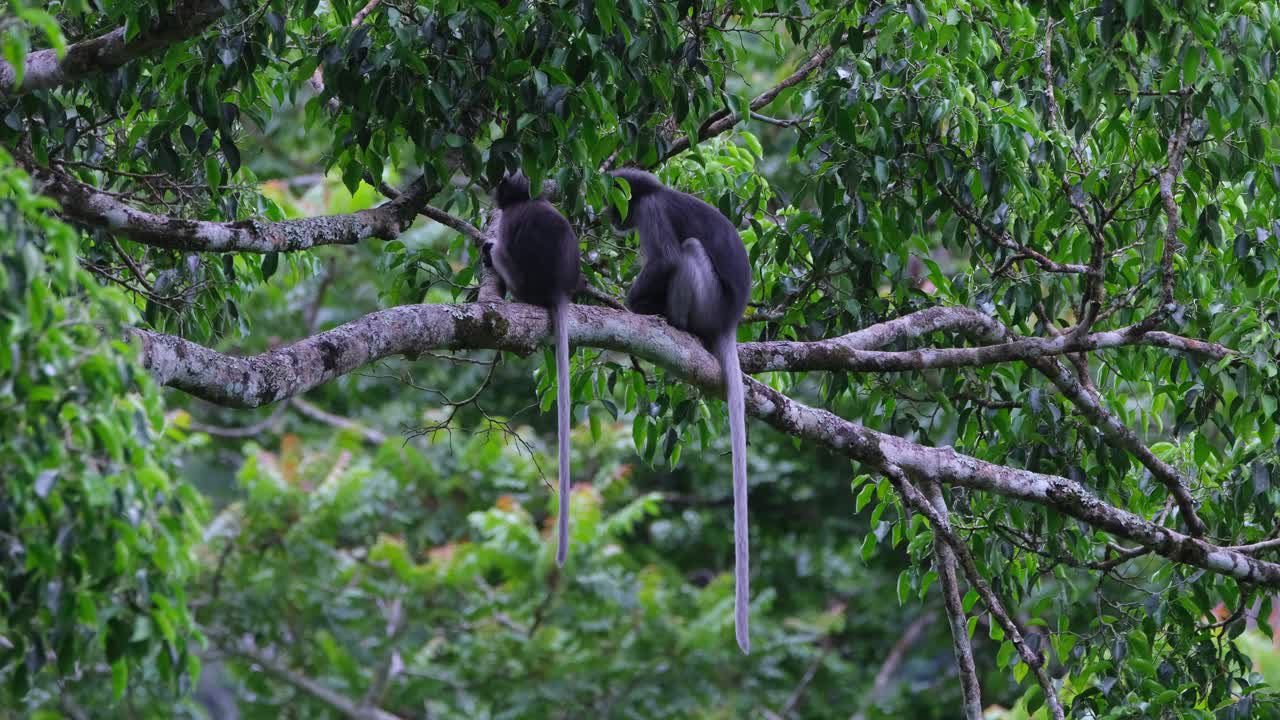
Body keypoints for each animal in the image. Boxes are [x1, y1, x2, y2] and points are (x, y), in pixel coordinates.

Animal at [609, 168, 753, 654]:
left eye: (618, 202)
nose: (609, 216)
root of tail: (729, 321)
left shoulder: (652, 213)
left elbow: (667, 261)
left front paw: (631, 304)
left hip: (708, 302)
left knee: (688, 252)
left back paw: (675, 323)